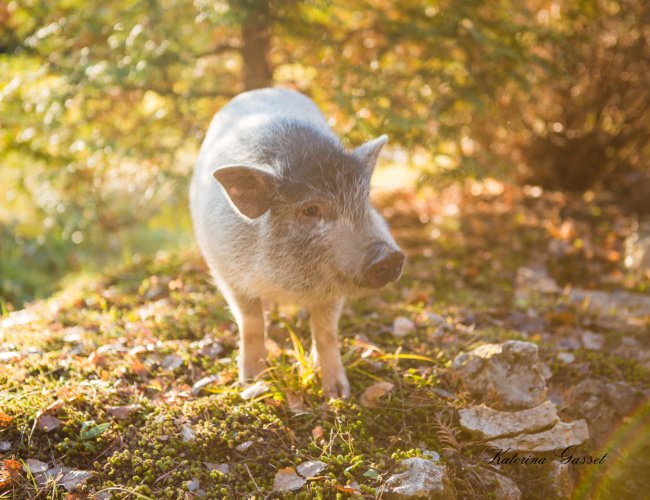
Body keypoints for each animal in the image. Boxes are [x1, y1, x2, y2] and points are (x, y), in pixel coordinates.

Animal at [187, 87, 402, 398]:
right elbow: (250, 323)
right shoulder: (227, 272)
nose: (390, 255)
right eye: (311, 210)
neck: (288, 286)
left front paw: (338, 394)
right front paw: (252, 382)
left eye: (366, 200)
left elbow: (326, 331)